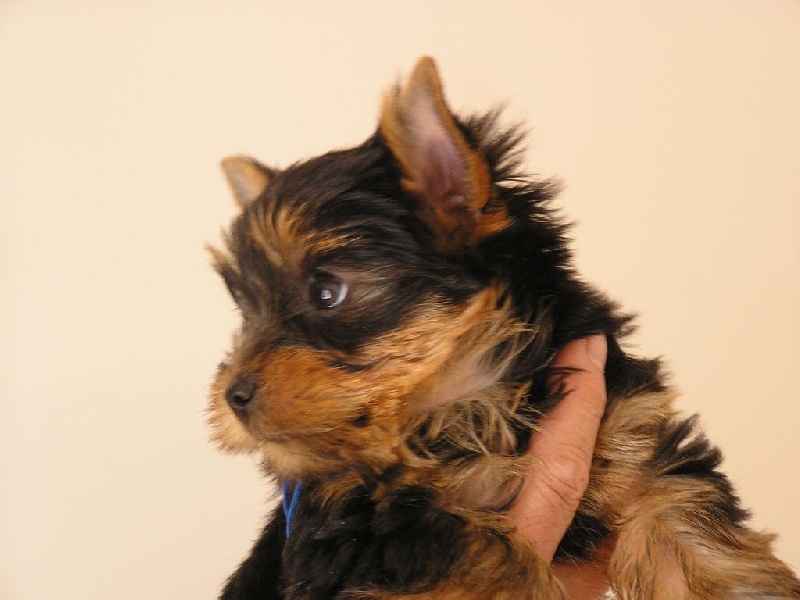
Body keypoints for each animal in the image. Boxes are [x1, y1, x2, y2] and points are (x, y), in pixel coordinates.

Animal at [207, 57, 800, 599]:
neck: (466, 404)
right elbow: (485, 547)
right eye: (245, 311)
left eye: (326, 291)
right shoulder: (358, 521)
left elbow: (679, 517)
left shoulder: (628, 430)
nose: (235, 395)